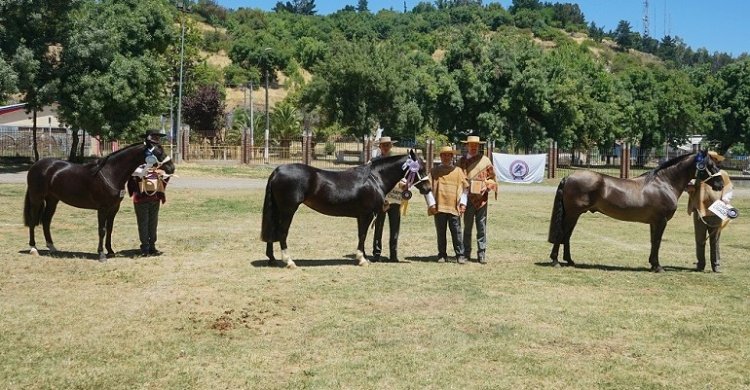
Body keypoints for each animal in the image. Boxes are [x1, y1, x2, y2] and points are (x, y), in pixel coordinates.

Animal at [23, 139, 176, 260]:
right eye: (158, 152)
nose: (172, 168)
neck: (110, 173)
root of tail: (36, 165)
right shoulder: (102, 208)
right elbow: (102, 230)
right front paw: (101, 254)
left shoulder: (114, 208)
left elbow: (110, 229)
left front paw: (111, 251)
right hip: (37, 199)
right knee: (33, 220)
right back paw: (33, 248)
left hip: (52, 200)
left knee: (46, 221)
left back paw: (52, 247)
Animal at [262, 150, 432, 268]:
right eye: (421, 168)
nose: (428, 188)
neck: (375, 178)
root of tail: (277, 171)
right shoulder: (366, 214)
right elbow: (363, 235)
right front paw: (362, 259)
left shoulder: (361, 216)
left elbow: (360, 235)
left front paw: (363, 257)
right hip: (288, 210)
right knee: (282, 232)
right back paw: (289, 261)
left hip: (279, 210)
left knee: (273, 230)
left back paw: (272, 259)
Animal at [548, 151, 724, 272]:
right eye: (710, 165)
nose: (721, 184)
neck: (664, 183)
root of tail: (569, 177)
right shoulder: (661, 221)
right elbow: (657, 242)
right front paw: (658, 267)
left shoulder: (654, 222)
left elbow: (653, 242)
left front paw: (652, 264)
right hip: (572, 214)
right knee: (562, 233)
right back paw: (556, 261)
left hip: (574, 214)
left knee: (567, 235)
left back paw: (569, 261)